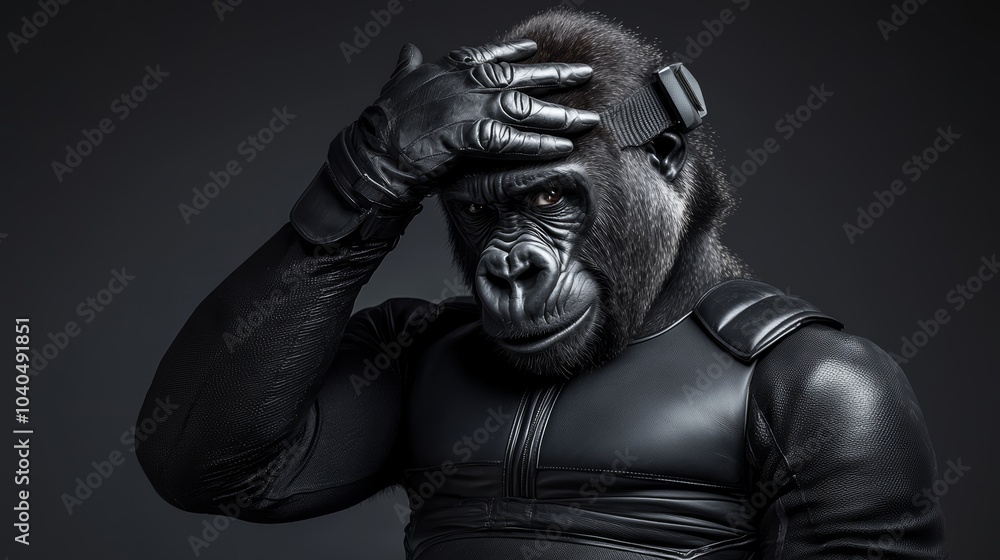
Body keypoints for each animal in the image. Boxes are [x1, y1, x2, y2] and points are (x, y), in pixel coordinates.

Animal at [136, 9, 947, 559]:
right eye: (476, 211)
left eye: (550, 197)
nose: (509, 267)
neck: (658, 312)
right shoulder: (397, 331)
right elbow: (237, 463)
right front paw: (414, 129)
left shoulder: (845, 393)